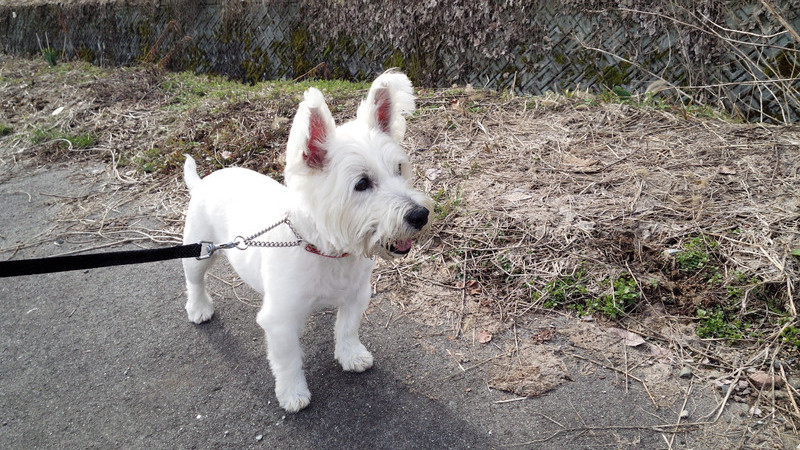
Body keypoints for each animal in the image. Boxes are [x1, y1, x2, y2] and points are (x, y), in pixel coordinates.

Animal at [180, 71, 432, 412]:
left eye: (399, 169)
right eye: (362, 183)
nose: (420, 215)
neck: (325, 250)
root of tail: (204, 181)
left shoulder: (356, 295)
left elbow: (347, 328)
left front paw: (351, 355)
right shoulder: (280, 321)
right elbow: (288, 361)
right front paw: (292, 393)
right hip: (200, 250)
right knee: (195, 281)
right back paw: (199, 308)